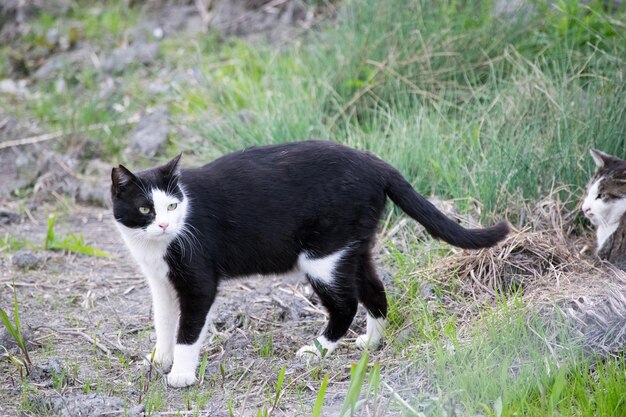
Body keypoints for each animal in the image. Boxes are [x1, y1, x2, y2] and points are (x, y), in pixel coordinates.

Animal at [112, 141, 510, 386]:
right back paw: (371, 342)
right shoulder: (160, 283)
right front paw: (159, 360)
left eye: (173, 206)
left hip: (323, 256)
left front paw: (181, 374)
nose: (165, 224)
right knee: (375, 291)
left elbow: (188, 329)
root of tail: (376, 162)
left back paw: (318, 349)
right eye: (145, 209)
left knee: (346, 304)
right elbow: (164, 323)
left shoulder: (199, 282)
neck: (156, 246)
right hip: (353, 247)